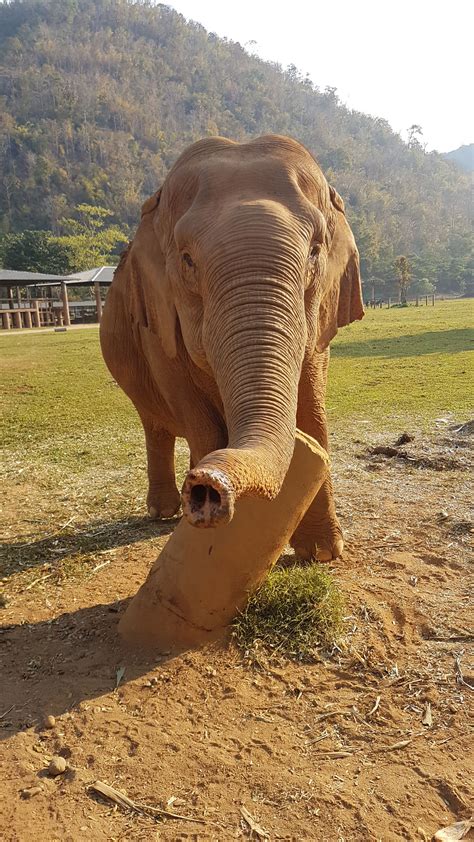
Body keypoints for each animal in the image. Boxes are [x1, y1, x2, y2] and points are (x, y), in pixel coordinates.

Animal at [101, 136, 362, 556]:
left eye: (314, 251)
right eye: (187, 260)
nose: (205, 487)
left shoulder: (322, 319)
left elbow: (312, 413)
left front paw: (324, 552)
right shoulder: (159, 328)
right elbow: (197, 418)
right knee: (155, 425)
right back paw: (162, 512)